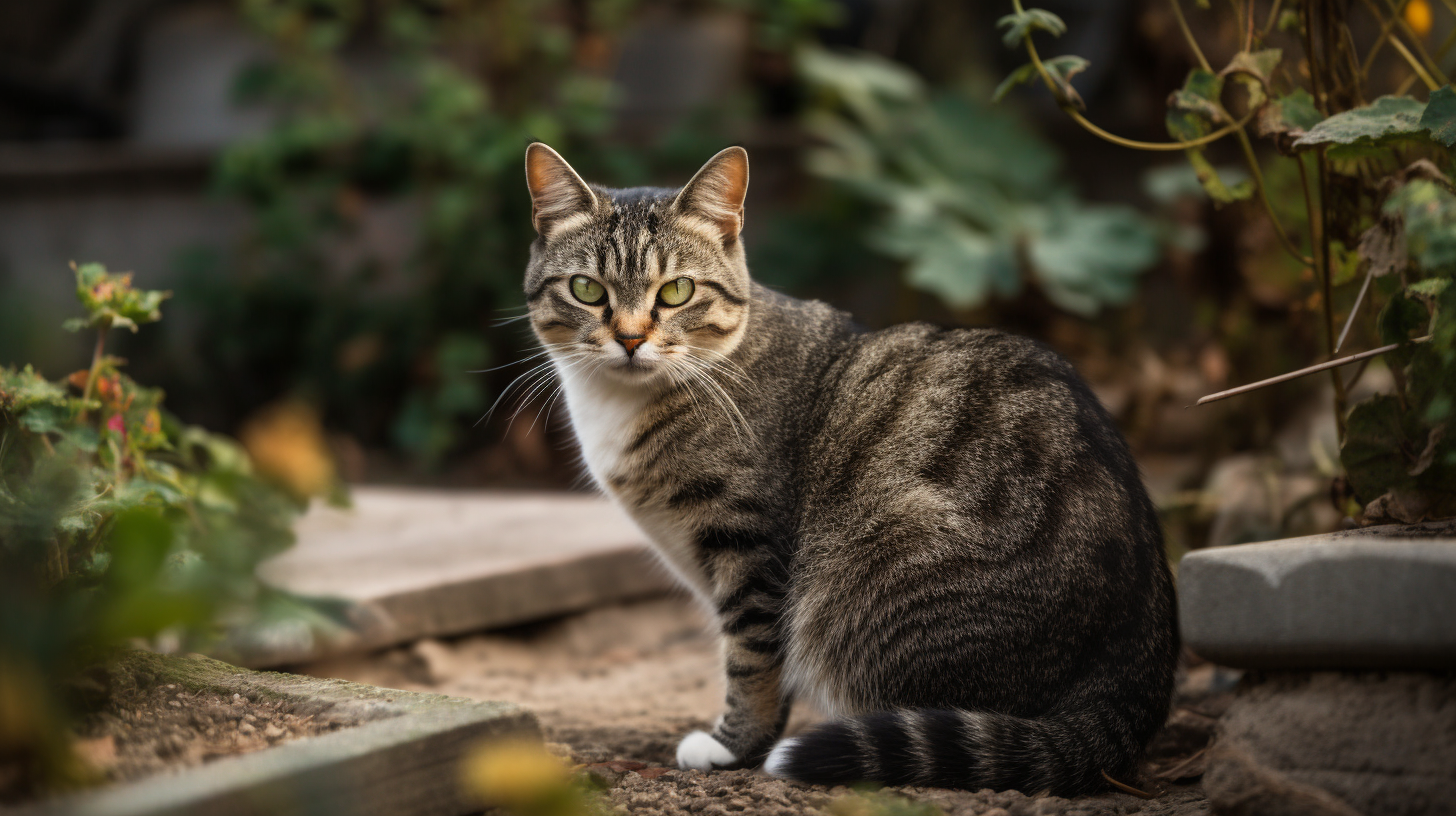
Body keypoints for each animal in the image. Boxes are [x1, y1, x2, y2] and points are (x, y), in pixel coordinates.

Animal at [518, 143, 1176, 792]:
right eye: (587, 289)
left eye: (677, 291)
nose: (629, 339)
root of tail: (1136, 672)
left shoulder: (750, 549)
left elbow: (752, 661)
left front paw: (734, 748)